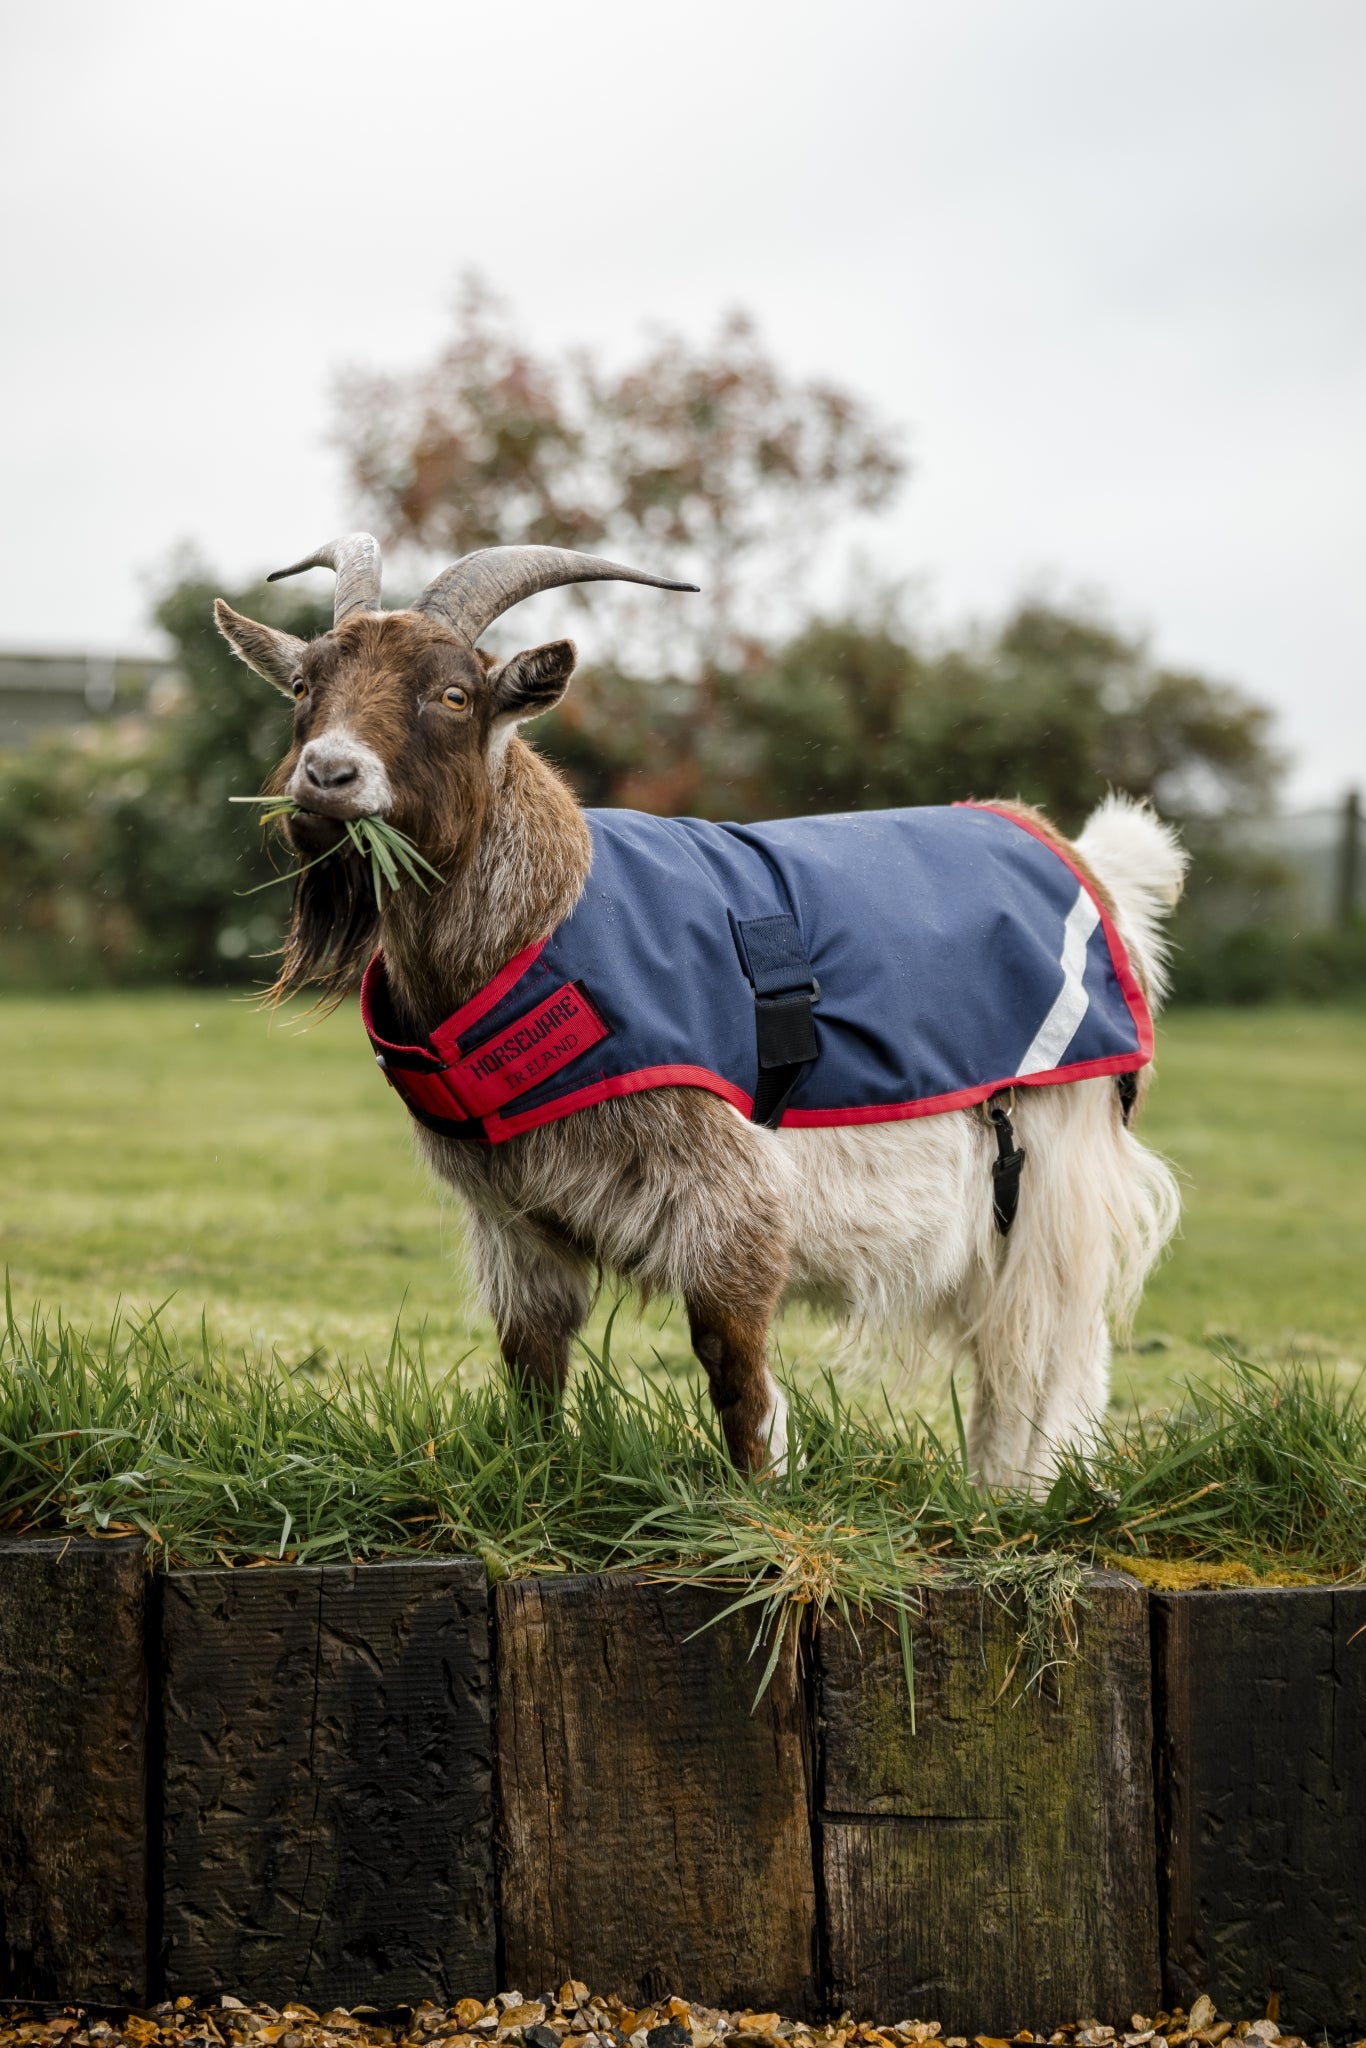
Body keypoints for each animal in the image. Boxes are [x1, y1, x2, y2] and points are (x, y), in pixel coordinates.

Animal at [216, 534, 1184, 1486]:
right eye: (304, 686)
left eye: (454, 694)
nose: (328, 774)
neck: (545, 924)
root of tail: (1081, 858)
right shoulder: (515, 1217)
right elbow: (532, 1361)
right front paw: (536, 1483)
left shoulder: (726, 1188)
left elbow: (732, 1361)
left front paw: (759, 1501)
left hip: (1055, 1162)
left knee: (1046, 1347)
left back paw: (1014, 1496)